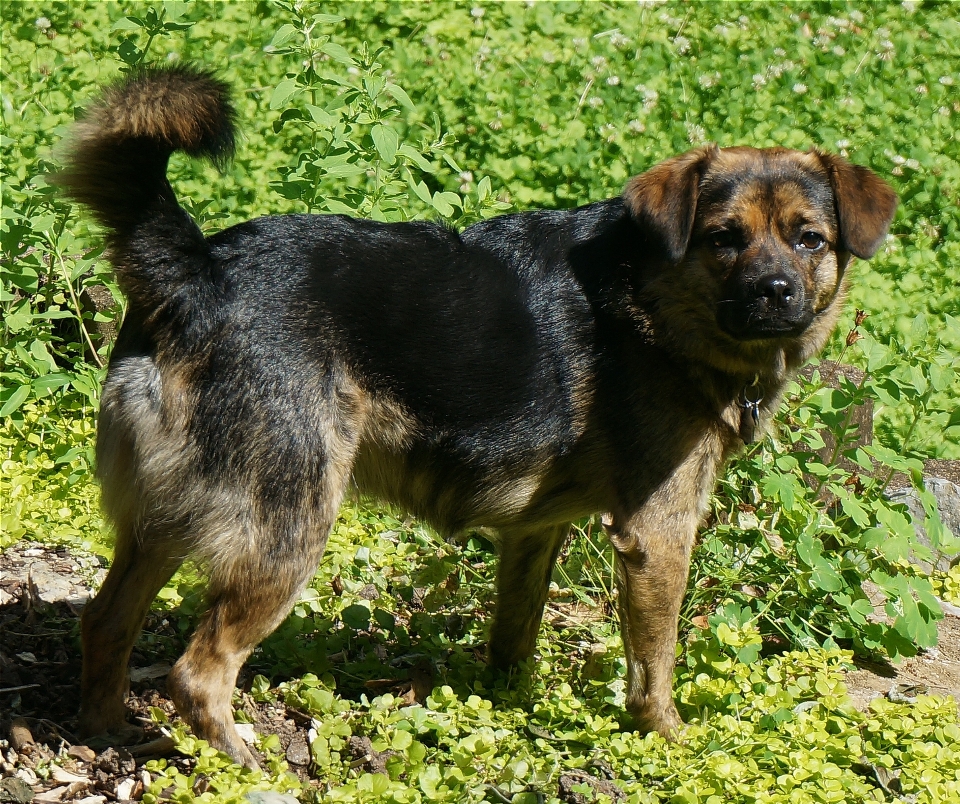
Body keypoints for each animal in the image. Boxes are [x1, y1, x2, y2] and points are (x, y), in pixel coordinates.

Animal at [52, 64, 896, 768]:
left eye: (809, 240)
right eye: (724, 240)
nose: (774, 293)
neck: (657, 294)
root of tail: (196, 272)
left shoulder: (535, 532)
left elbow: (514, 633)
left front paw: (506, 707)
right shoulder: (659, 535)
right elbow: (653, 667)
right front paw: (669, 743)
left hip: (165, 515)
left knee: (106, 620)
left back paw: (106, 728)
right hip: (286, 527)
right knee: (197, 674)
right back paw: (247, 764)